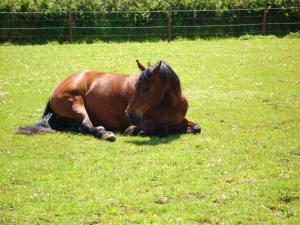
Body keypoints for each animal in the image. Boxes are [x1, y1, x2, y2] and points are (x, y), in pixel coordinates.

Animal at [17, 59, 202, 141]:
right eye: (135, 86)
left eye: (146, 88)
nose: (130, 114)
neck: (171, 105)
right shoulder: (145, 122)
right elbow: (160, 129)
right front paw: (135, 130)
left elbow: (196, 127)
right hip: (75, 103)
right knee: (86, 125)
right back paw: (105, 133)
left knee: (79, 127)